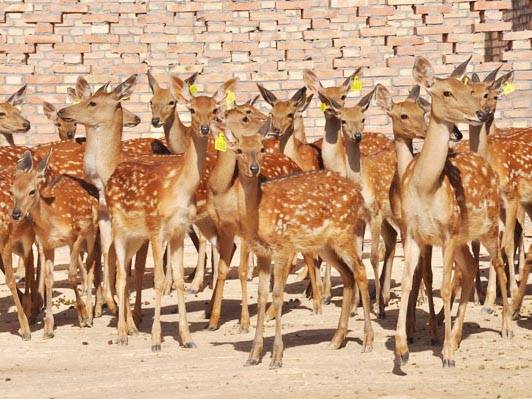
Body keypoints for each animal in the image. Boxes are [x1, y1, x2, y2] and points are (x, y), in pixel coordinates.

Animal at [11, 152, 98, 340]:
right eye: (12, 191)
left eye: (32, 191)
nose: (16, 214)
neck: (51, 222)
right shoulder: (48, 244)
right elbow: (48, 280)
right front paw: (48, 328)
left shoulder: (77, 234)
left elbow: (72, 275)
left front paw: (83, 314)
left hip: (91, 231)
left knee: (90, 265)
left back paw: (89, 314)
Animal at [214, 121, 372, 368]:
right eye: (239, 150)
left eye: (261, 148)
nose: (254, 168)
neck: (259, 212)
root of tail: (358, 192)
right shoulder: (262, 252)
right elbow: (261, 295)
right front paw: (254, 355)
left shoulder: (283, 247)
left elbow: (278, 295)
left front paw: (276, 356)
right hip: (324, 245)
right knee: (348, 275)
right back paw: (337, 339)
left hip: (344, 233)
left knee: (361, 272)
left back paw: (367, 340)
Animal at [392, 55, 512, 368]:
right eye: (446, 92)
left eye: (468, 89)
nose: (481, 113)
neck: (426, 187)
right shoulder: (413, 232)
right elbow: (408, 282)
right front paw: (401, 351)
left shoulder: (447, 232)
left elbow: (445, 287)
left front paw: (446, 354)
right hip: (462, 238)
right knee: (470, 268)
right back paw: (457, 336)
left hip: (489, 225)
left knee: (499, 263)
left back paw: (505, 326)